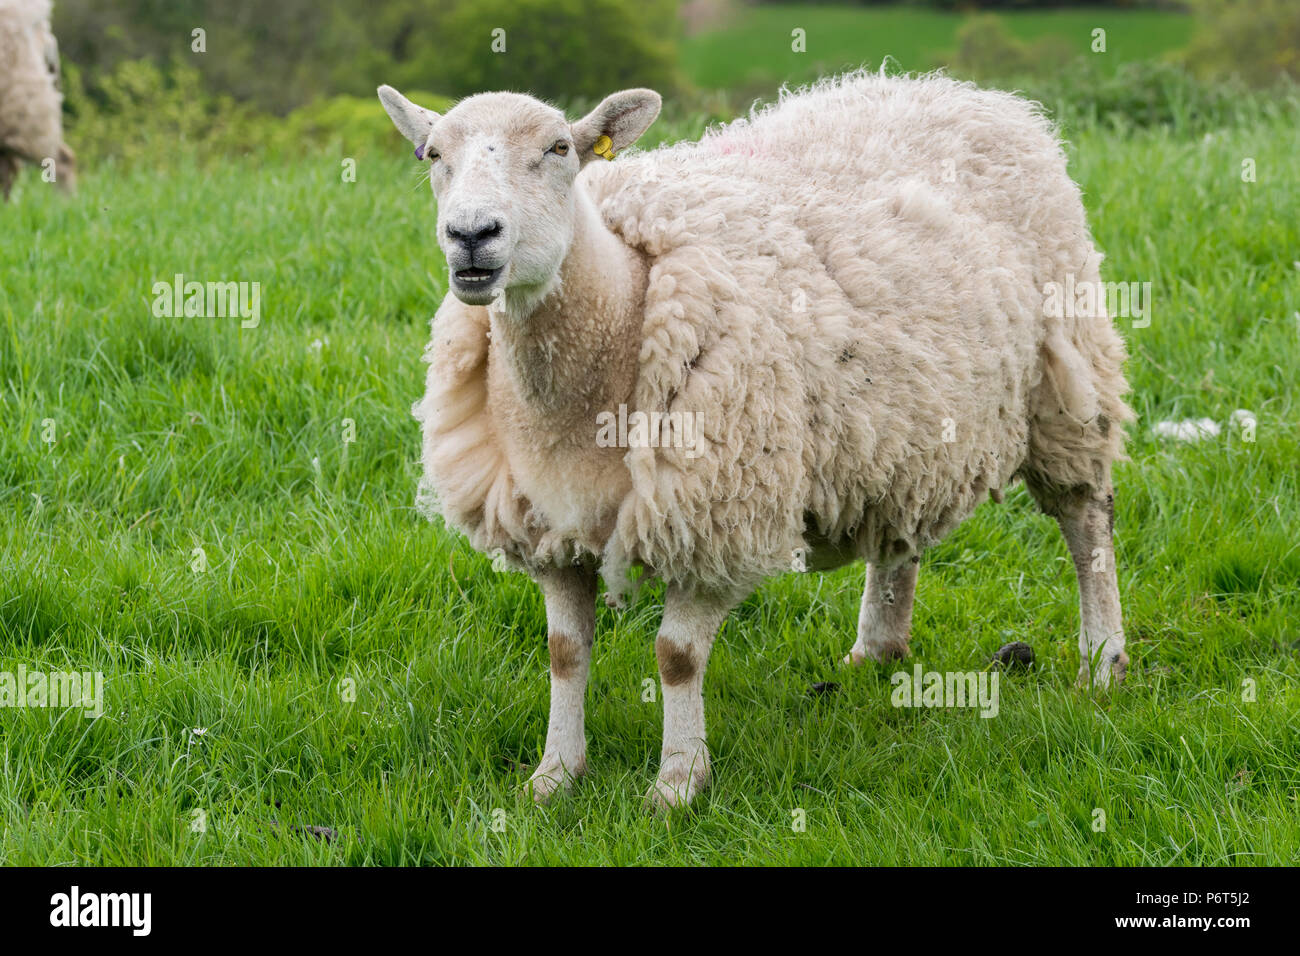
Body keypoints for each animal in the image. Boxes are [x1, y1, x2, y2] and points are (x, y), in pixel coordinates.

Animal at [378, 69, 1134, 810]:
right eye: (432, 155)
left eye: (560, 148)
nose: (472, 234)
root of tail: (971, 92)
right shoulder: (550, 526)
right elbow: (565, 651)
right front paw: (555, 776)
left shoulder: (718, 514)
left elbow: (677, 657)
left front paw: (677, 786)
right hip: (901, 424)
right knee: (902, 525)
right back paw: (877, 649)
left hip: (1064, 383)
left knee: (1087, 520)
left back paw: (1103, 662)